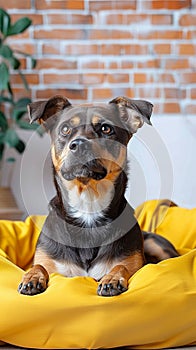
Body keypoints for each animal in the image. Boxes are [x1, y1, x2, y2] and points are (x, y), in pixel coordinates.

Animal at [18, 94, 179, 296]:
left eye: (106, 128)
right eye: (65, 129)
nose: (79, 144)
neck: (88, 205)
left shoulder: (132, 261)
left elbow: (121, 266)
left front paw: (112, 279)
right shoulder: (47, 259)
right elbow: (38, 266)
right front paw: (32, 277)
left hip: (157, 244)